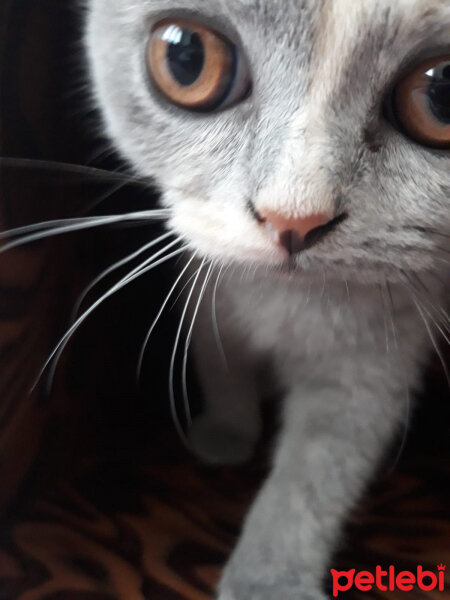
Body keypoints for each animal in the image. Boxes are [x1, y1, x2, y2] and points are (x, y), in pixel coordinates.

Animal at [85, 2, 450, 596]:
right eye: (186, 59)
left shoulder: (378, 354)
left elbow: (319, 467)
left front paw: (268, 576)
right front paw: (226, 432)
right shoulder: (209, 290)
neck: (283, 302)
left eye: (442, 94)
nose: (295, 216)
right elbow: (220, 362)